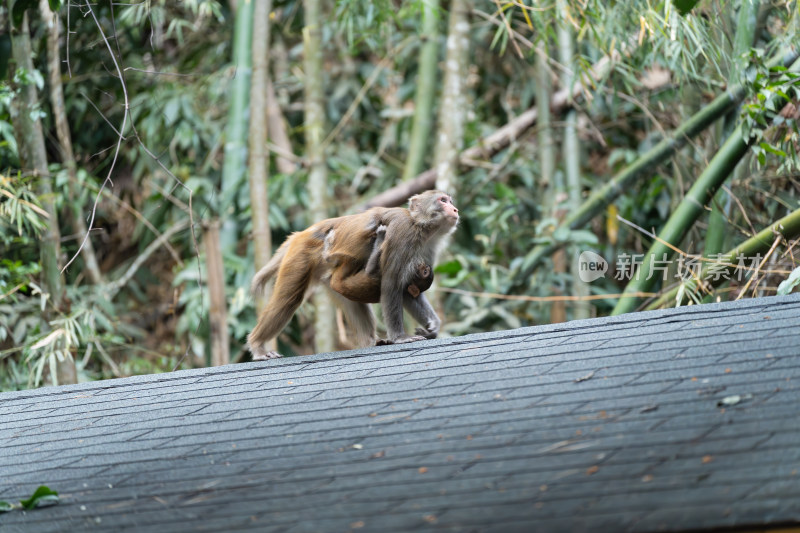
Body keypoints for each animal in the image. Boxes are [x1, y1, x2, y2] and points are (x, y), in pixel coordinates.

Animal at [247, 189, 460, 360]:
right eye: (442, 200)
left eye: (450, 200)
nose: (455, 209)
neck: (421, 228)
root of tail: (303, 233)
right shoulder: (402, 234)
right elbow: (391, 283)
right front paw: (400, 337)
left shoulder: (428, 249)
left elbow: (407, 290)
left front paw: (433, 325)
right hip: (301, 254)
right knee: (288, 300)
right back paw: (257, 346)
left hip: (331, 275)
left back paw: (371, 341)